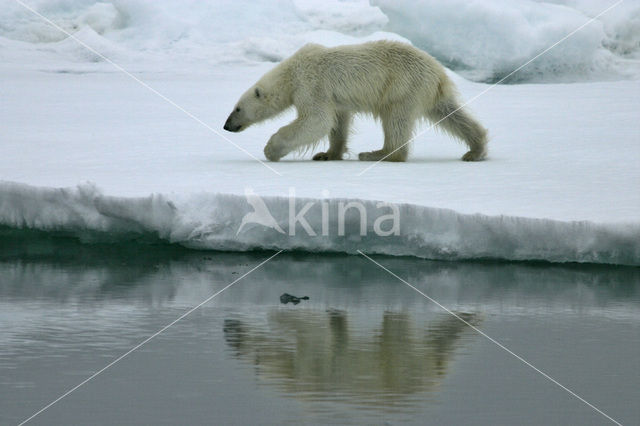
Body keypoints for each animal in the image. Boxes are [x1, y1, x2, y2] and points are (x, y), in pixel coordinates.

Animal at [222, 40, 488, 163]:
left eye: (237, 108)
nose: (226, 125)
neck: (291, 72)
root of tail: (439, 73)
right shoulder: (335, 99)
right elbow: (337, 122)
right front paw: (327, 154)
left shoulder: (310, 84)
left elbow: (317, 119)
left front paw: (271, 149)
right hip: (429, 92)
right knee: (452, 115)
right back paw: (475, 150)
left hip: (403, 86)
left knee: (396, 120)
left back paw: (377, 153)